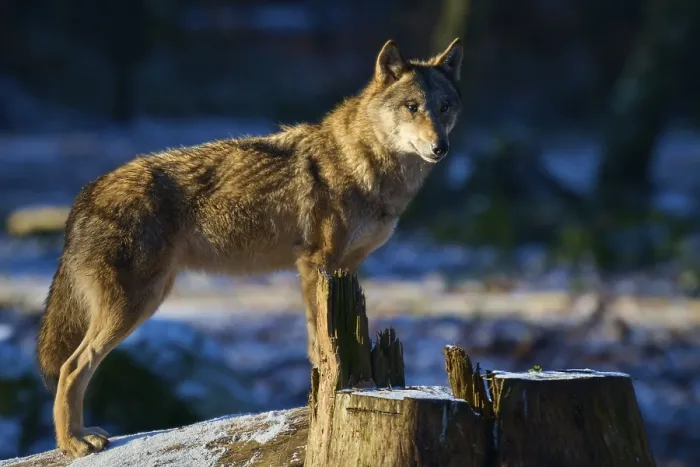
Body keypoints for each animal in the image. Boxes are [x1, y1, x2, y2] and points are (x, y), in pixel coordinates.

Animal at [36, 38, 463, 457]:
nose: (440, 147)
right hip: (134, 306)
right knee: (71, 368)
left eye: (444, 107)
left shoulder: (346, 269)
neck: (366, 165)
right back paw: (73, 442)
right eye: (412, 107)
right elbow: (318, 341)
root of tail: (85, 193)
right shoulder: (315, 264)